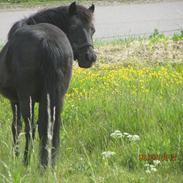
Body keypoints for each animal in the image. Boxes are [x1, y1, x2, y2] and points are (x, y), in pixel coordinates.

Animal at [0, 1, 96, 167]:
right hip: (56, 98)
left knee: (30, 128)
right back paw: (50, 163)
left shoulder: (15, 100)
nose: (90, 57)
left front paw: (15, 156)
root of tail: (47, 41)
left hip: (26, 99)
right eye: (73, 28)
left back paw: (26, 162)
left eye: (93, 30)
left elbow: (16, 126)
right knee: (52, 127)